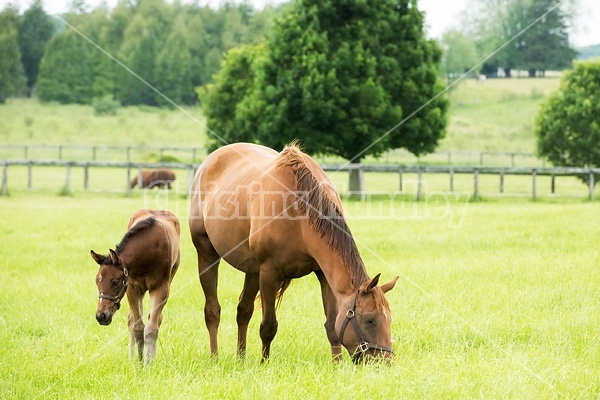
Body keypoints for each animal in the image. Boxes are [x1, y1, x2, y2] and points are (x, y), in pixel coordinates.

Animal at [91, 211, 180, 364]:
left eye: (115, 282)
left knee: (155, 319)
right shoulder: (132, 288)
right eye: (97, 281)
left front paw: (148, 362)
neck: (149, 250)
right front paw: (138, 361)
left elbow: (151, 328)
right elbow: (137, 327)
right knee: (131, 319)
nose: (101, 316)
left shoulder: (161, 288)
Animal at [190, 143, 398, 362]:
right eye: (369, 319)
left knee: (243, 311)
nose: (385, 362)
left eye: (389, 319)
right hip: (207, 254)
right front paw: (264, 364)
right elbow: (268, 327)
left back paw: (241, 358)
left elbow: (332, 327)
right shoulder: (269, 273)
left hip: (253, 270)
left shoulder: (323, 273)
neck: (298, 212)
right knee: (212, 310)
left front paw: (337, 365)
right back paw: (215, 357)